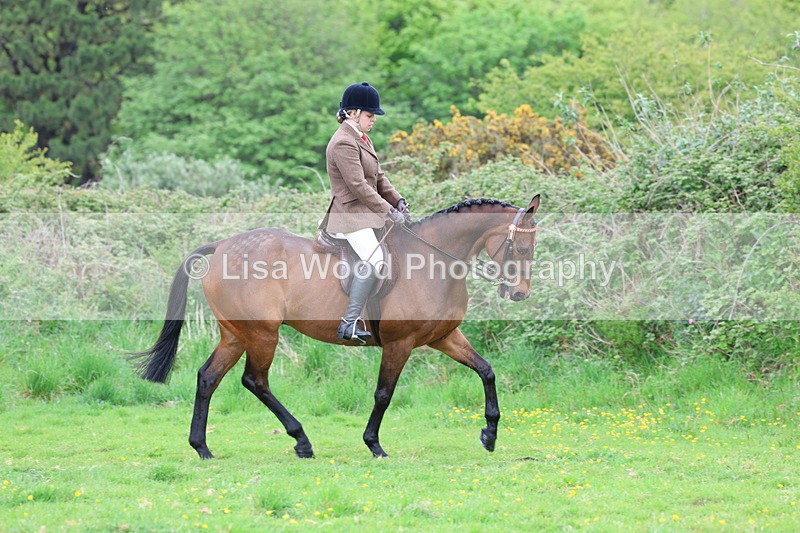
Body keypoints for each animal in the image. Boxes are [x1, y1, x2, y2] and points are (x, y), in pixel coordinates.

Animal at [133, 195, 540, 459]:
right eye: (522, 248)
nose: (519, 293)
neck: (432, 259)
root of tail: (221, 247)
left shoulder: (443, 337)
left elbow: (486, 371)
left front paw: (489, 434)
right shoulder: (400, 342)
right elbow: (383, 393)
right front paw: (374, 444)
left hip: (236, 334)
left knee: (208, 377)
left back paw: (202, 447)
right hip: (263, 334)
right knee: (255, 381)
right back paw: (301, 441)